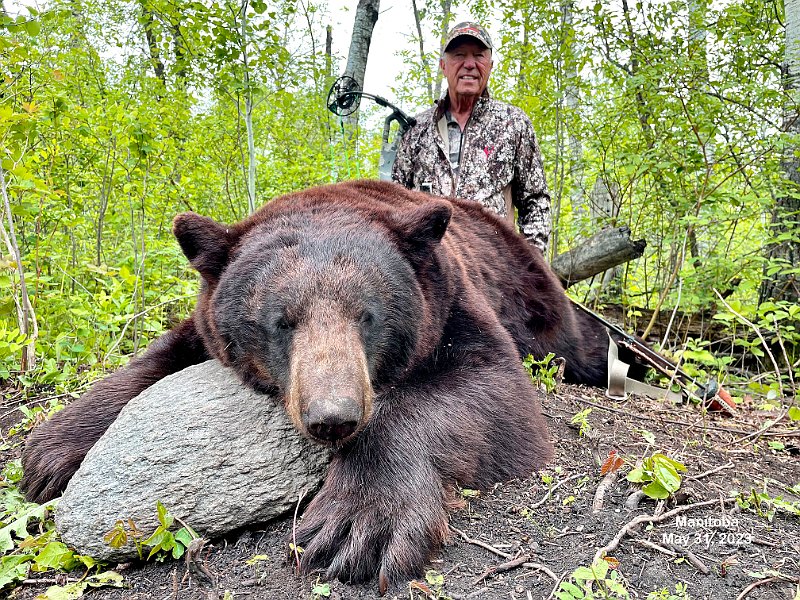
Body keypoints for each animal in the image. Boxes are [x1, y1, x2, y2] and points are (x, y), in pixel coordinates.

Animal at [21, 179, 614, 591]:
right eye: (282, 320)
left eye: (367, 315)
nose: (333, 417)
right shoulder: (207, 321)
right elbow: (161, 353)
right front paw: (51, 450)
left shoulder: (454, 302)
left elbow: (493, 389)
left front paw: (354, 525)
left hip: (535, 300)